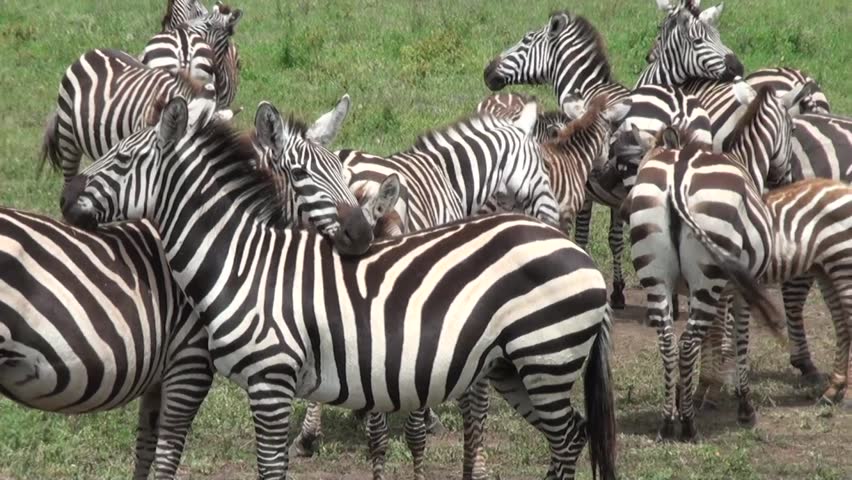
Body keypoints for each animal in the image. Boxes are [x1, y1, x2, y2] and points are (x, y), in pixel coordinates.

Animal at [63, 94, 616, 480]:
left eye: (119, 160)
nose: (66, 200)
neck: (243, 259)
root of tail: (580, 256)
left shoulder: (270, 381)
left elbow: (272, 469)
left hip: (545, 358)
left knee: (568, 435)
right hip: (516, 367)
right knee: (572, 435)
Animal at [624, 80, 816, 440]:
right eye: (793, 129)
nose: (786, 177)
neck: (746, 162)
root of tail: (677, 176)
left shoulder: (703, 288)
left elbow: (712, 337)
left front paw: (697, 390)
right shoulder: (737, 288)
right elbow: (738, 338)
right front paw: (742, 405)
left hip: (656, 273)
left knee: (669, 342)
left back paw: (667, 421)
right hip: (708, 276)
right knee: (686, 343)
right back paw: (687, 426)